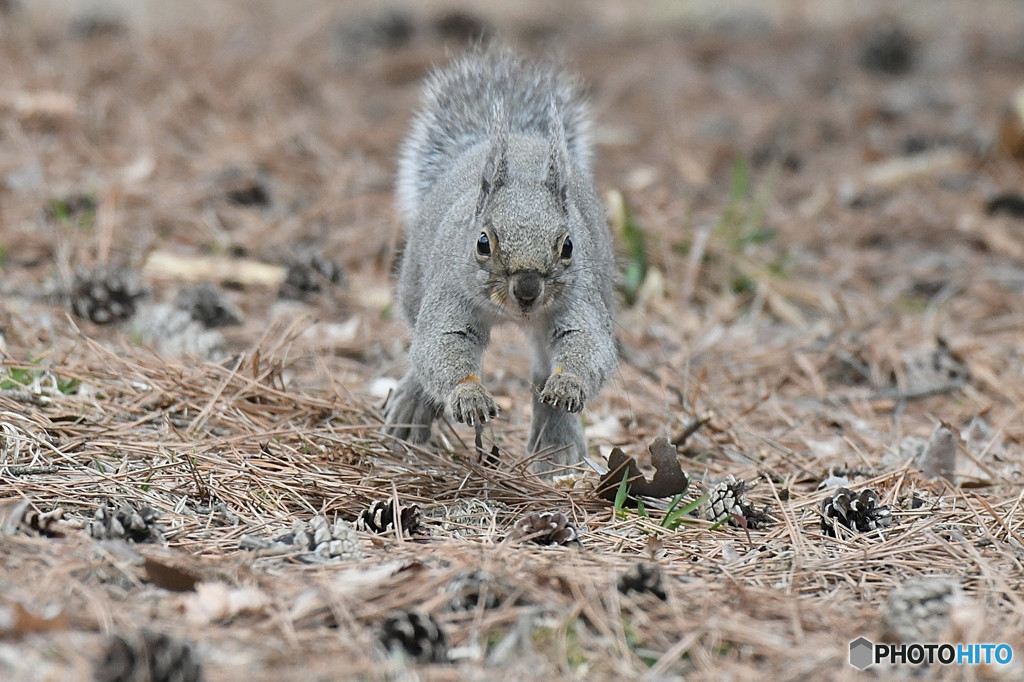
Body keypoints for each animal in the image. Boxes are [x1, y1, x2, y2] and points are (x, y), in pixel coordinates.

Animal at [385, 49, 614, 466]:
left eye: (568, 246)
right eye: (482, 243)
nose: (527, 291)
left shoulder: (582, 297)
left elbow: (586, 341)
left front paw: (569, 385)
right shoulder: (450, 292)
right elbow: (443, 342)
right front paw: (469, 396)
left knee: (541, 368)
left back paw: (556, 445)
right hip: (413, 286)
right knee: (419, 349)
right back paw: (411, 405)